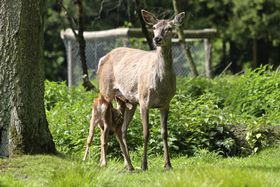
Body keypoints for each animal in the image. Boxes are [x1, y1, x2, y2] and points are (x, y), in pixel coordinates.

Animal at [97, 10, 185, 171]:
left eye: (169, 28)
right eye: (154, 27)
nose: (157, 39)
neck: (160, 85)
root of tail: (102, 59)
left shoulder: (166, 103)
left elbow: (164, 133)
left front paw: (168, 164)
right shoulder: (144, 100)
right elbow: (145, 132)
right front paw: (144, 165)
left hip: (128, 101)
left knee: (123, 130)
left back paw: (129, 165)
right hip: (106, 90)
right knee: (103, 127)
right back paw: (103, 162)